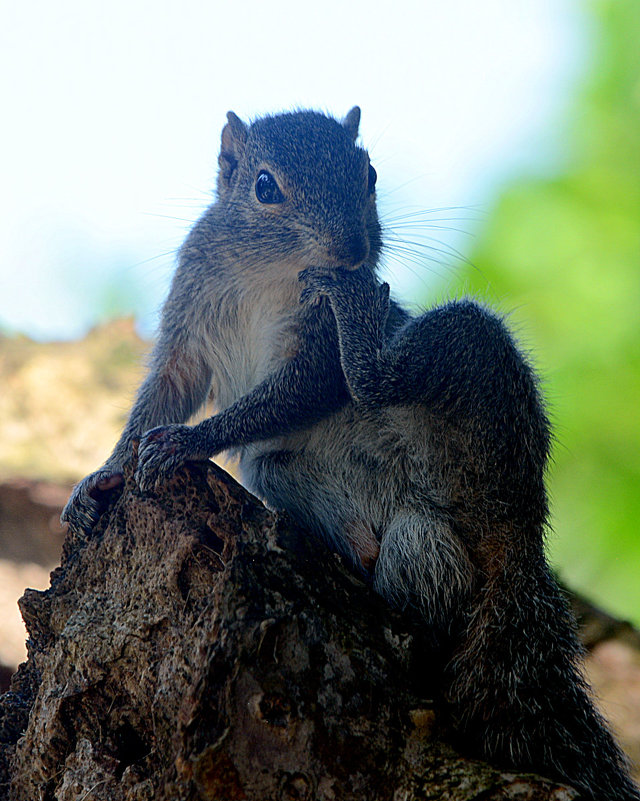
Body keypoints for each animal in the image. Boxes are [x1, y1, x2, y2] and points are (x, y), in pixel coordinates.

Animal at [61, 108, 640, 800]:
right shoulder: (191, 317)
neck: (268, 276)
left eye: (368, 175)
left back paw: (364, 325)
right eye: (263, 185)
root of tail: (521, 525)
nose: (352, 255)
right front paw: (104, 477)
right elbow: (165, 393)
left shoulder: (314, 343)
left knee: (385, 383)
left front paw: (187, 442)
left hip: (473, 367)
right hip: (335, 492)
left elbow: (304, 387)